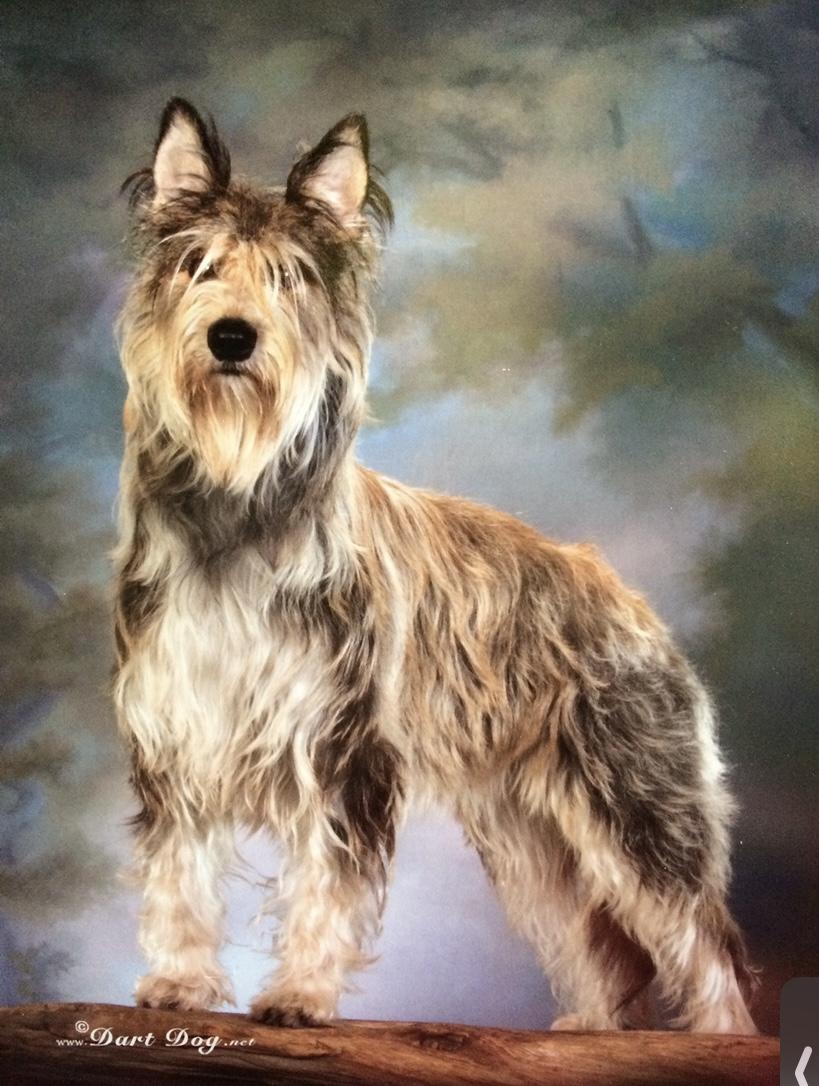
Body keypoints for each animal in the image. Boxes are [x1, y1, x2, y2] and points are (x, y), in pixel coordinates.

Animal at [113, 97, 757, 1032]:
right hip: (527, 837)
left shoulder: (340, 751)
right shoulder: (179, 738)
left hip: (637, 806)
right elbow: (179, 876)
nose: (232, 337)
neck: (238, 502)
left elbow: (326, 885)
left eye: (289, 278)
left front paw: (300, 994)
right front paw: (180, 984)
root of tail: (626, 597)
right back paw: (589, 1029)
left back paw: (717, 1039)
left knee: (704, 948)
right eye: (201, 267)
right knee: (594, 943)